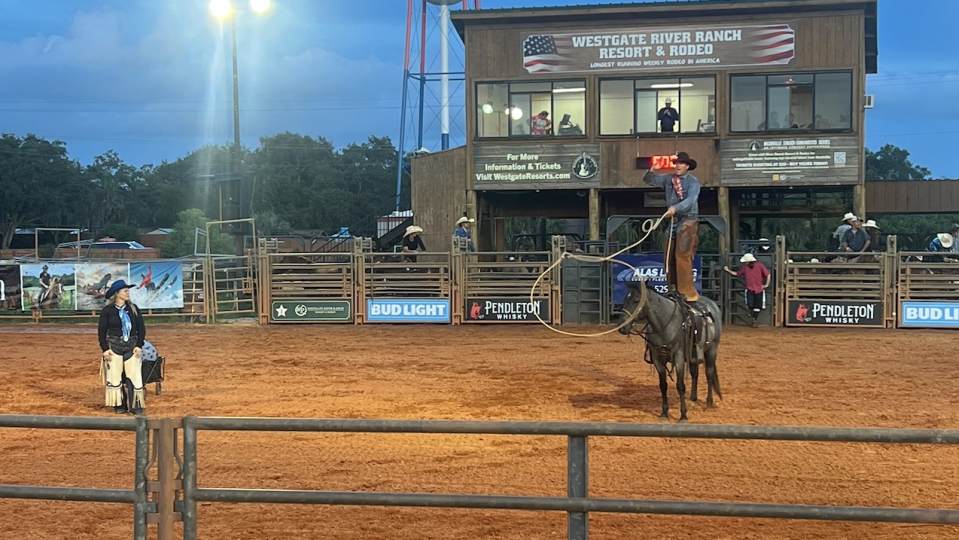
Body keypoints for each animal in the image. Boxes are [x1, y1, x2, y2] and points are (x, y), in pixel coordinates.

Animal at [620, 282, 724, 422]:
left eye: (637, 300)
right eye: (624, 299)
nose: (622, 327)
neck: (665, 324)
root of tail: (713, 305)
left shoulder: (678, 357)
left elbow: (680, 386)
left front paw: (683, 415)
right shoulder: (657, 358)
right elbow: (663, 385)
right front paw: (664, 413)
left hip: (712, 350)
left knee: (709, 374)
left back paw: (709, 404)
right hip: (693, 356)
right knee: (695, 374)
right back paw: (693, 401)